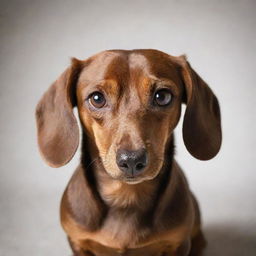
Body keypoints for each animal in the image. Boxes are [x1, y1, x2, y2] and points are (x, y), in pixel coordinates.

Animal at [35, 49, 221, 255]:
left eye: (162, 96)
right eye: (97, 98)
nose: (132, 160)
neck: (126, 197)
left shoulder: (178, 244)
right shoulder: (78, 243)